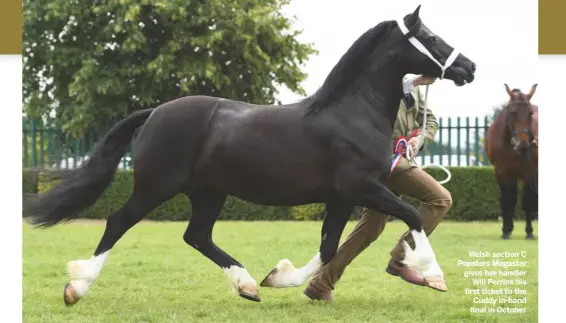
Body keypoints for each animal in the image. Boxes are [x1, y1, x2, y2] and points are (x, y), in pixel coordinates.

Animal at [22, 6, 478, 308]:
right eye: (431, 38)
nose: (470, 68)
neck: (353, 111)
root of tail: (155, 112)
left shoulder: (341, 198)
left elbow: (329, 248)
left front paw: (278, 277)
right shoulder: (363, 187)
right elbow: (412, 215)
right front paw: (433, 275)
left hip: (209, 193)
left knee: (197, 236)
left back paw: (247, 285)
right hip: (156, 187)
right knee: (118, 222)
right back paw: (77, 287)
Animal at [486, 83, 540, 240]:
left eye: (530, 113)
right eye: (513, 113)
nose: (523, 144)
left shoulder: (530, 172)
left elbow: (527, 201)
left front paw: (529, 232)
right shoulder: (502, 172)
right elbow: (507, 200)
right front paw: (505, 231)